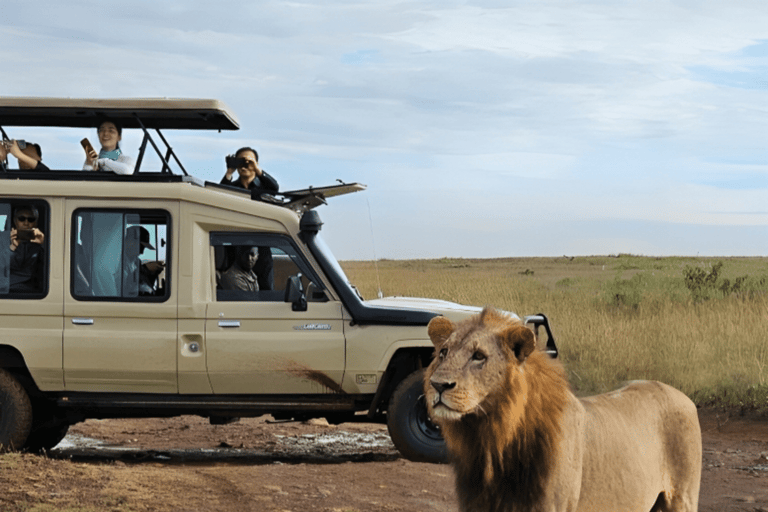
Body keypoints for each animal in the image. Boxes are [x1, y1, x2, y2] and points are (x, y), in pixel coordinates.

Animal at [426, 308, 704, 512]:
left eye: (479, 356)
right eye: (443, 353)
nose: (437, 385)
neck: (491, 439)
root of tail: (681, 395)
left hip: (682, 498)